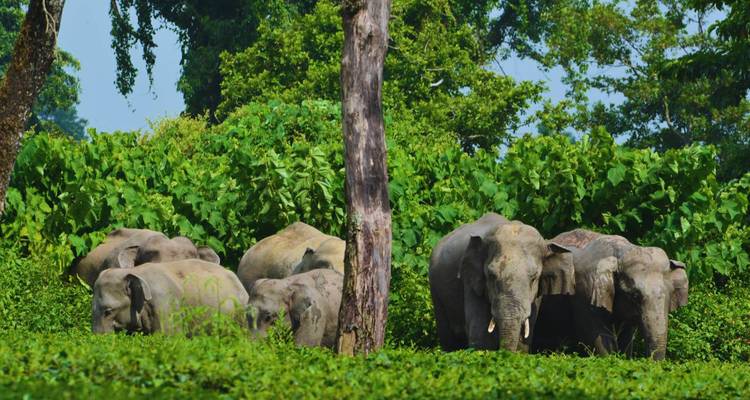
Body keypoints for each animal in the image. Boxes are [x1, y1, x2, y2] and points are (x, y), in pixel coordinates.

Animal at [533, 229, 689, 360]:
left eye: (670, 296)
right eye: (634, 296)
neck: (621, 252)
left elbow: (626, 336)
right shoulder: (586, 291)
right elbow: (595, 335)